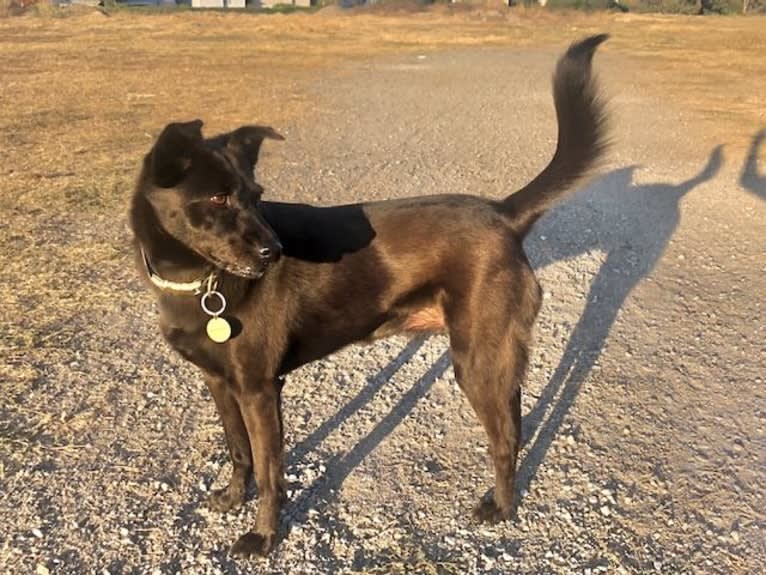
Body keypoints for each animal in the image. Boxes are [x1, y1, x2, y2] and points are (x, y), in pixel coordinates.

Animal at [130, 35, 612, 560]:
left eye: (256, 196)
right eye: (218, 199)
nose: (274, 251)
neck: (199, 282)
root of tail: (503, 214)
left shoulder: (259, 388)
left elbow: (271, 472)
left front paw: (263, 536)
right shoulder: (219, 383)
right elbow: (239, 451)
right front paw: (233, 498)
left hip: (476, 361)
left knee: (504, 437)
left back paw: (500, 509)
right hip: (494, 355)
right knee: (516, 422)